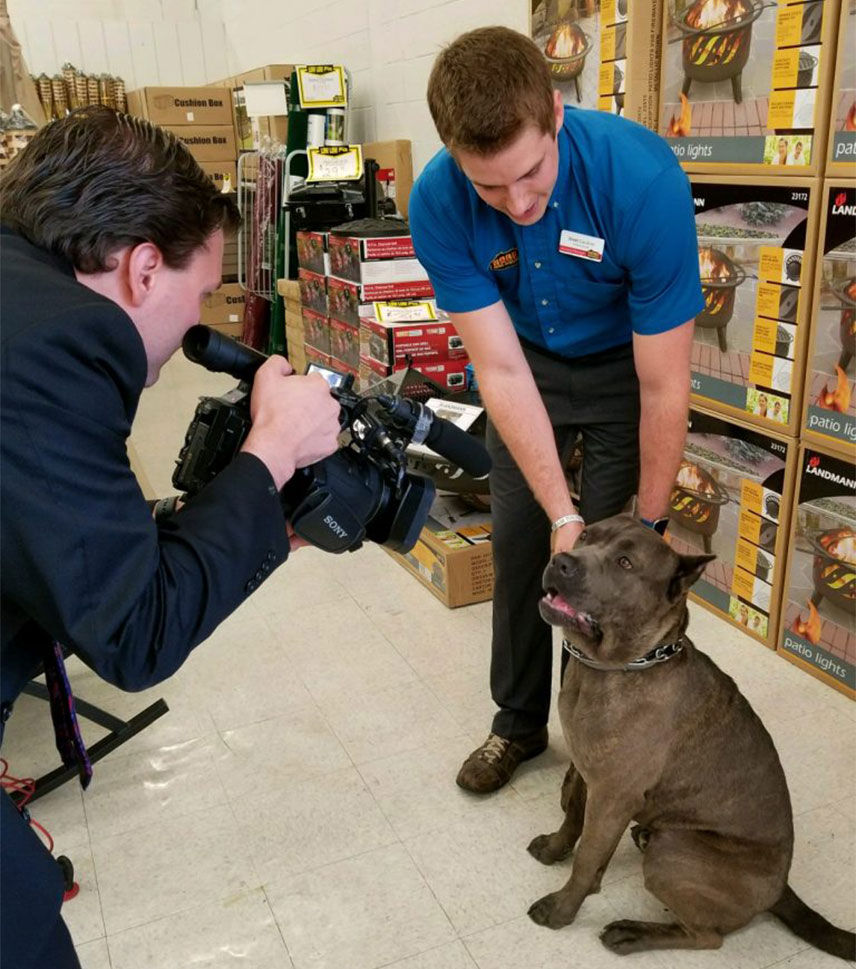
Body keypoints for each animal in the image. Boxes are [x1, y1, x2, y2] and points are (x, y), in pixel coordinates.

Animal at [532, 516, 852, 960]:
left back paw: (632, 934)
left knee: (707, 937)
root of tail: (781, 889)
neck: (620, 667)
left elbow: (586, 861)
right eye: (585, 536)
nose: (561, 561)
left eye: (625, 563)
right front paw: (553, 849)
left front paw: (561, 910)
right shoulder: (586, 772)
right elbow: (572, 820)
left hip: (673, 853)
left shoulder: (612, 797)